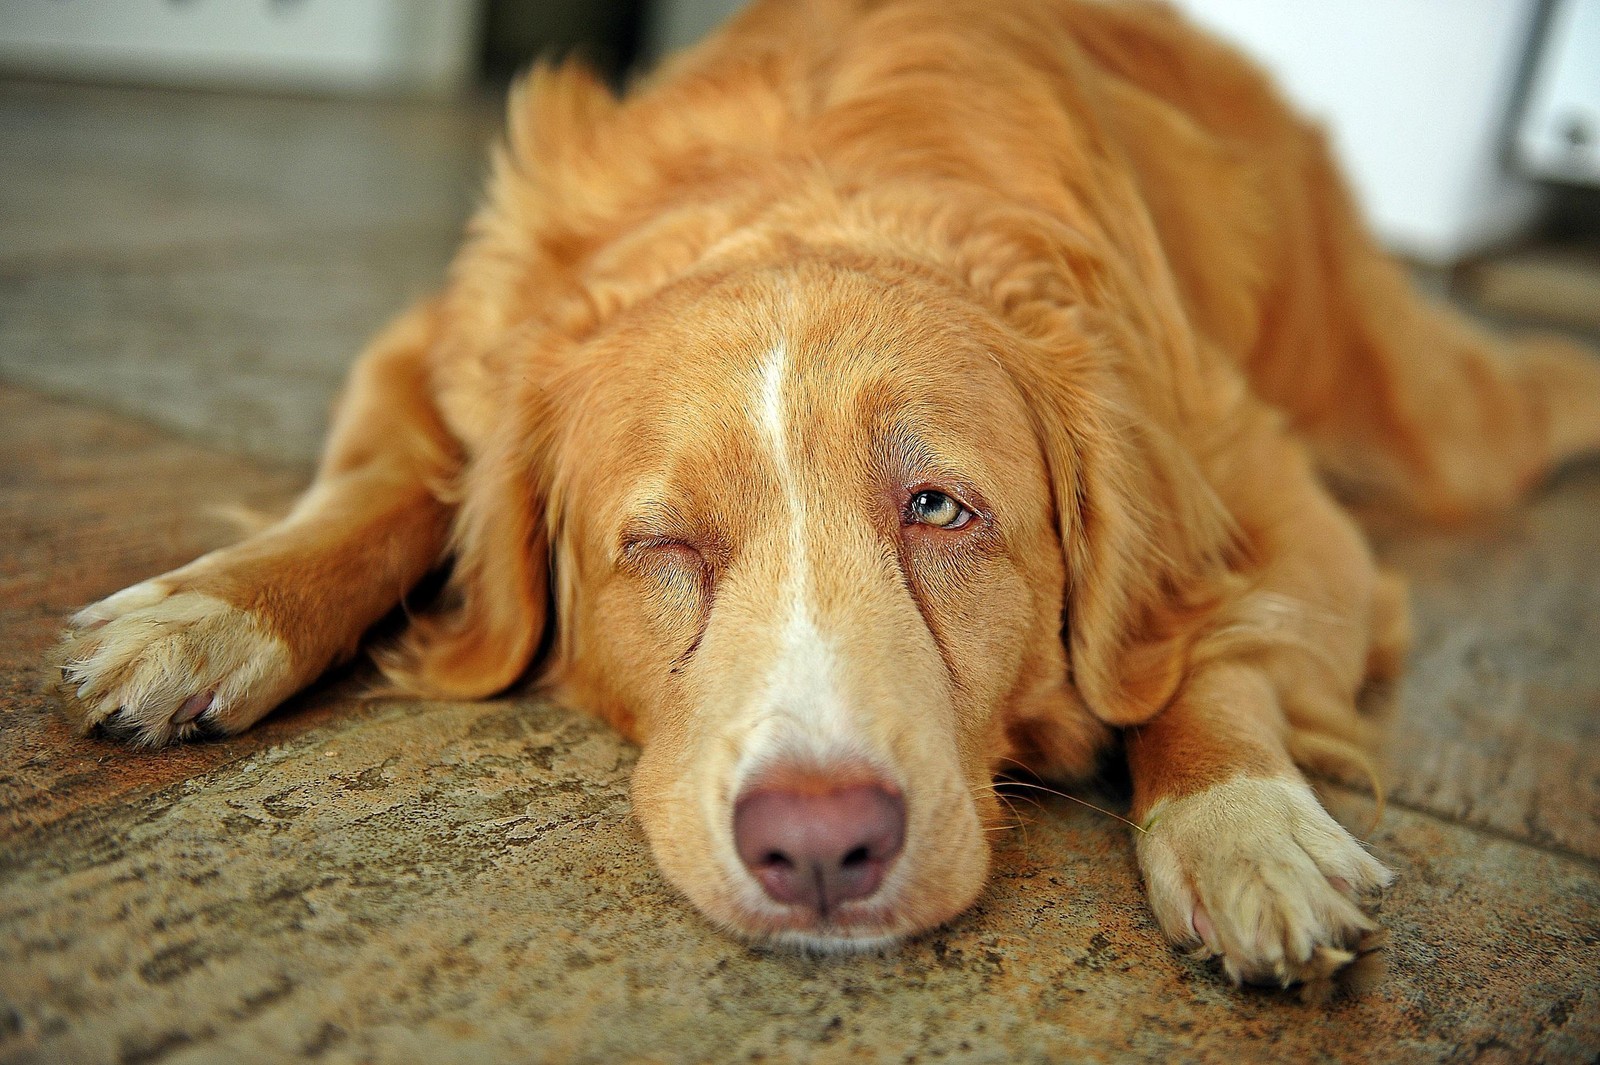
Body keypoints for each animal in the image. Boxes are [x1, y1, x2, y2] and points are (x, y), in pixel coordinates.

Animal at [50, 0, 1600, 985]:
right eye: (660, 543)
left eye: (940, 510)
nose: (818, 848)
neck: (813, 193)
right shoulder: (436, 347)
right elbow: (379, 488)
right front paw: (208, 612)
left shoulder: (1264, 480)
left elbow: (1207, 650)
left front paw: (1240, 820)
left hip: (1423, 412)